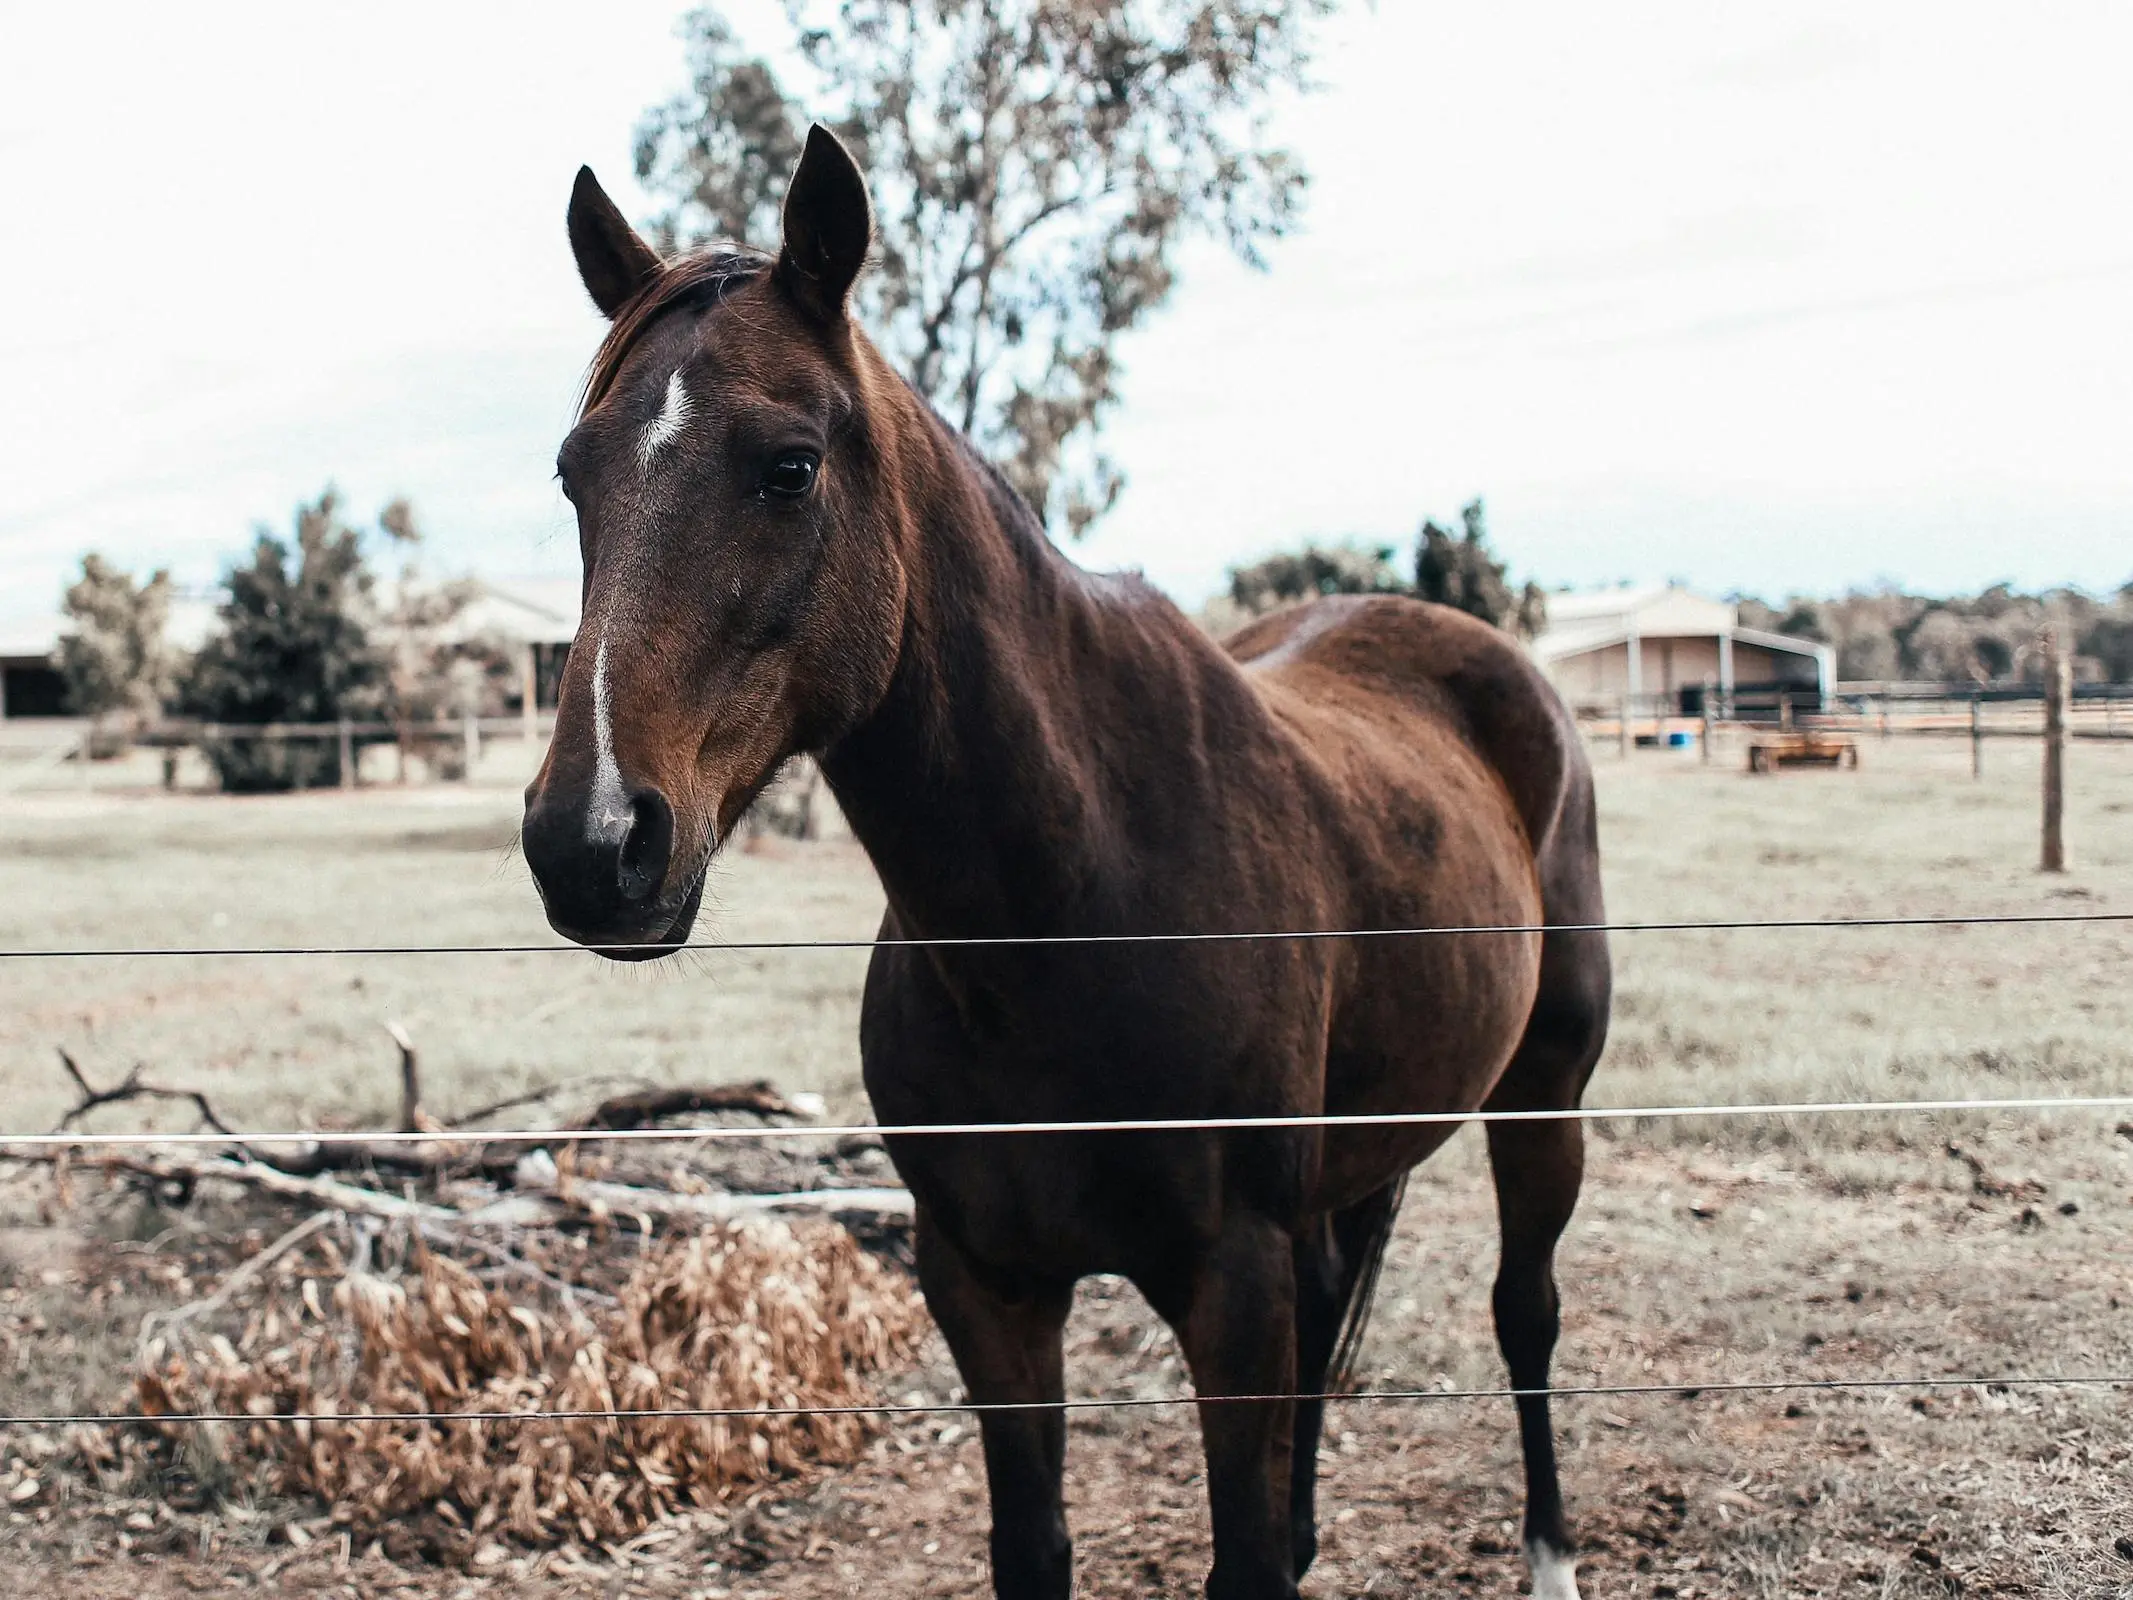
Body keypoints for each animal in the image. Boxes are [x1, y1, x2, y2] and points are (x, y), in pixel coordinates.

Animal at [524, 128, 1604, 1600]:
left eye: (789, 465)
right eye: (576, 475)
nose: (588, 843)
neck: (1063, 913)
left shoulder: (1229, 1292)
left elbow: (1242, 1553)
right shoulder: (987, 1286)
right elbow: (1038, 1548)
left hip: (1543, 1095)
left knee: (1524, 1313)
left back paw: (1548, 1551)